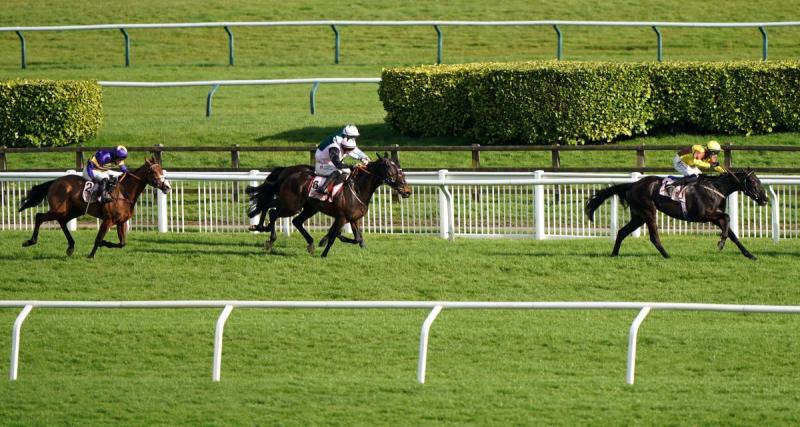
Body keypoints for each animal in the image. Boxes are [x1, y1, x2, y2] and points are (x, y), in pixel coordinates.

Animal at [18, 158, 170, 256]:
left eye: (162, 171)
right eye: (153, 172)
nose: (167, 187)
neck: (124, 192)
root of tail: (56, 181)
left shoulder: (120, 222)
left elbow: (122, 243)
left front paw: (105, 243)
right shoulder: (108, 220)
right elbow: (98, 239)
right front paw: (91, 255)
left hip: (74, 210)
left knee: (62, 221)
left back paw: (71, 246)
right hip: (59, 209)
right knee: (39, 216)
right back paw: (30, 241)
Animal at [245, 155, 412, 260]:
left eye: (400, 170)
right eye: (392, 170)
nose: (408, 190)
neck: (357, 188)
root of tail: (289, 174)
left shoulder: (354, 219)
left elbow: (357, 238)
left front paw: (333, 239)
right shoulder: (342, 217)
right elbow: (333, 237)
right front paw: (325, 251)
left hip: (308, 207)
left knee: (293, 219)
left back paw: (308, 243)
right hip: (291, 205)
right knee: (273, 212)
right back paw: (267, 236)